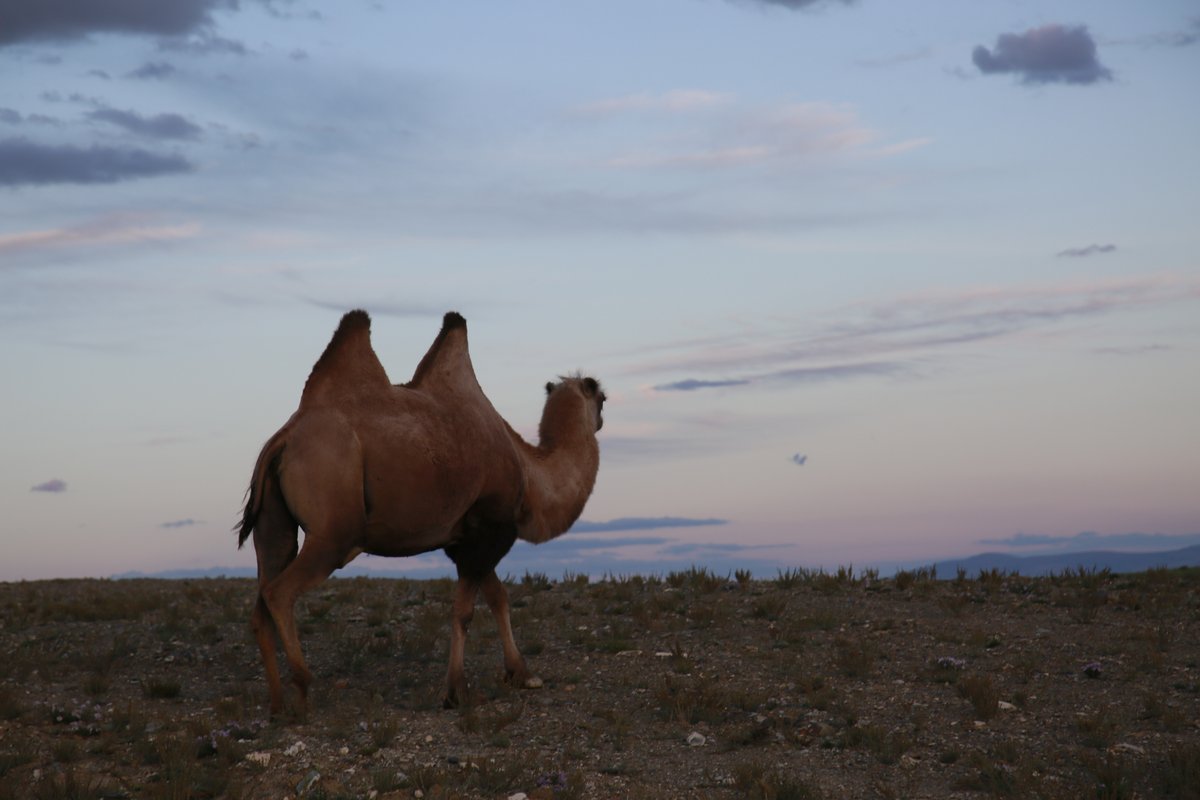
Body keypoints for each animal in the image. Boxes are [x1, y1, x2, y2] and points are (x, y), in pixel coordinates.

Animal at [235, 309, 604, 714]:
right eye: (602, 397)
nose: (601, 418)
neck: (528, 472)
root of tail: (284, 438)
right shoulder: (487, 531)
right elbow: (465, 611)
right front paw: (456, 691)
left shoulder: (464, 540)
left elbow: (498, 598)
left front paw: (521, 674)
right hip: (333, 530)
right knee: (279, 593)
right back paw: (302, 693)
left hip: (272, 524)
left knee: (261, 599)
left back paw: (276, 706)